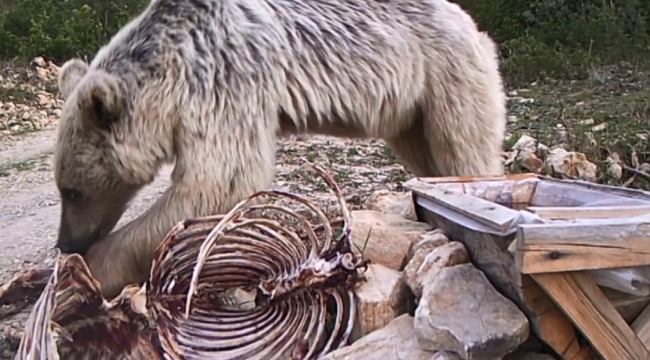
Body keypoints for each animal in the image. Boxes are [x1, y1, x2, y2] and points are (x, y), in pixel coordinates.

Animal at [54, 0, 506, 298]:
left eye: (72, 191)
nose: (66, 243)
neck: (172, 69)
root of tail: (468, 19)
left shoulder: (225, 82)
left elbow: (216, 185)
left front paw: (91, 268)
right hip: (408, 106)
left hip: (444, 73)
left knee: (463, 146)